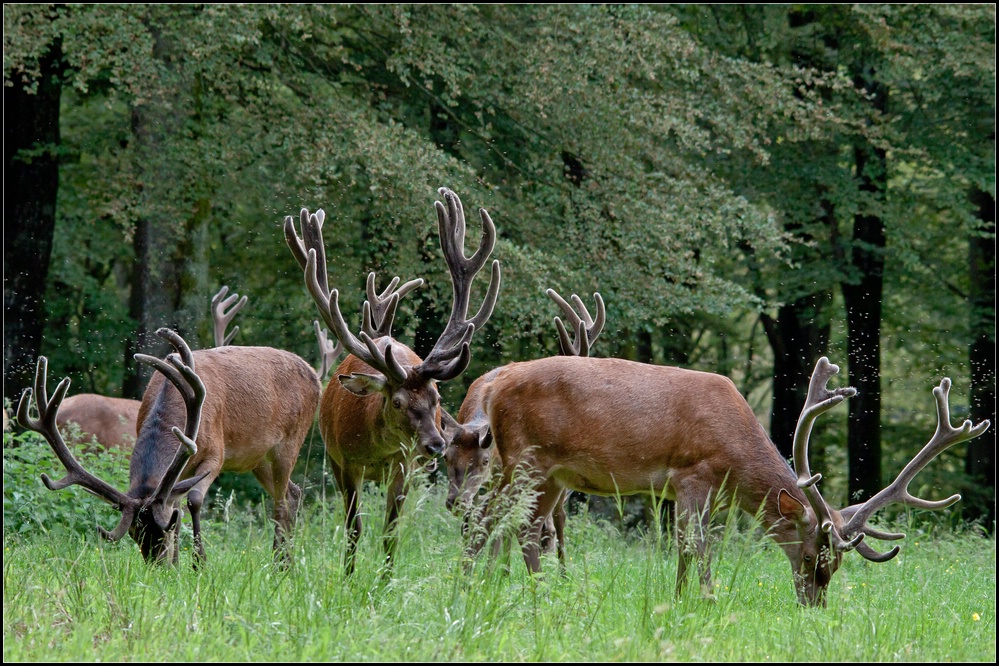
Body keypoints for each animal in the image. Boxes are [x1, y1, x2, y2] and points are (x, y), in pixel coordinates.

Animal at [20, 326, 320, 564]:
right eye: (134, 533)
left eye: (162, 529)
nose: (157, 566)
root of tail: (314, 373)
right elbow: (177, 504)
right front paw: (178, 565)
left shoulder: (216, 453)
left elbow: (194, 500)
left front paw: (200, 563)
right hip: (257, 459)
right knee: (293, 492)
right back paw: (286, 559)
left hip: (290, 441)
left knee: (280, 501)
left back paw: (281, 562)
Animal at [284, 187, 500, 572]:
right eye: (397, 402)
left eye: (437, 398)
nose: (436, 445)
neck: (375, 449)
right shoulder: (344, 463)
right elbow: (353, 529)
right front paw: (349, 576)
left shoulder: (403, 467)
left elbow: (390, 532)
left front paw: (384, 577)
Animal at [452, 356, 992, 604]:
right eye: (813, 555)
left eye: (837, 565)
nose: (814, 603)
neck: (735, 454)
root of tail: (494, 381)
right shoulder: (693, 473)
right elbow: (695, 546)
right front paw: (703, 600)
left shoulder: (707, 491)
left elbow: (695, 547)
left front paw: (681, 599)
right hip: (523, 458)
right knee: (484, 518)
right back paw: (470, 587)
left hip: (551, 474)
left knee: (523, 526)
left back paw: (532, 592)